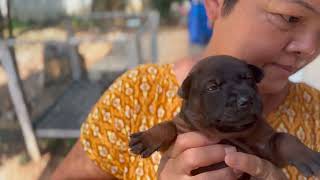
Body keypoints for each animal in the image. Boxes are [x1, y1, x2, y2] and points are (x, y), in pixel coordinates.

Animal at [129, 55, 320, 178]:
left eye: (248, 78)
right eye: (213, 87)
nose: (245, 100)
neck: (227, 132)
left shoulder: (267, 149)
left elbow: (283, 138)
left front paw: (307, 155)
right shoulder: (180, 132)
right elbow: (167, 125)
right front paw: (147, 138)